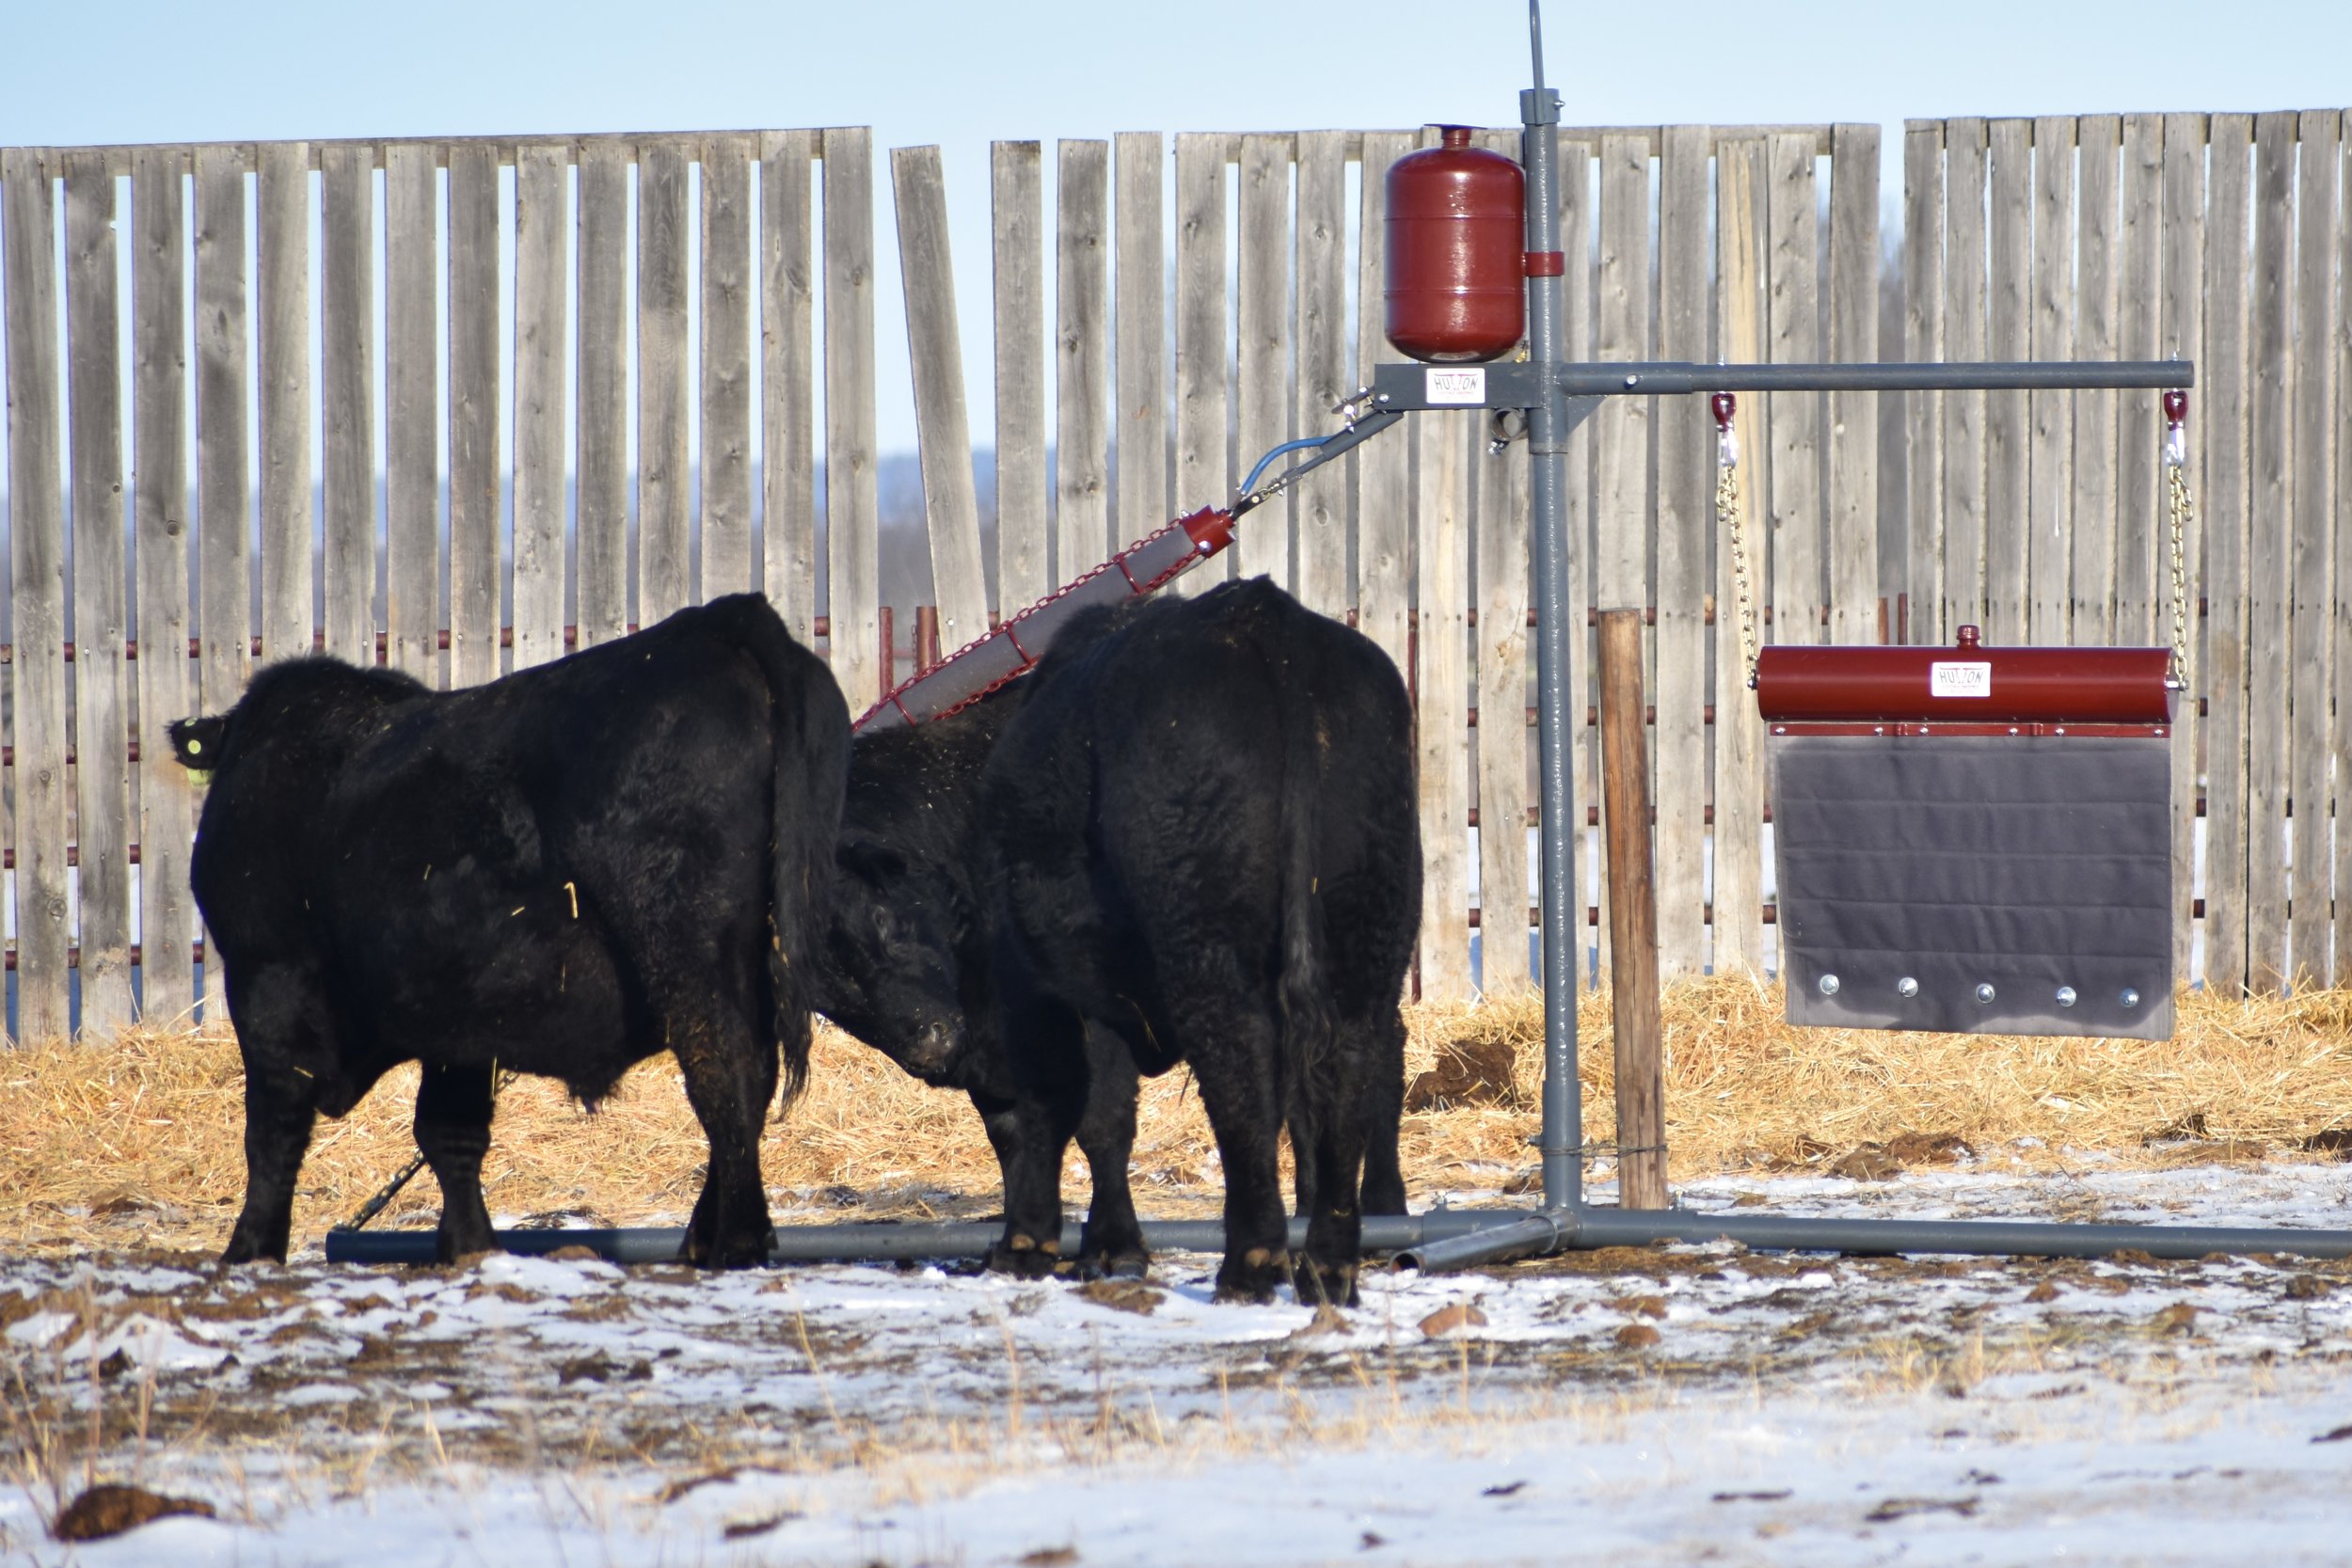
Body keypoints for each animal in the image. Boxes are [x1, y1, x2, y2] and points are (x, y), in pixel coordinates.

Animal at [169, 594, 849, 1269]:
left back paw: (733, 1244)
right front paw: (471, 1247)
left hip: (690, 953)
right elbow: (450, 1132)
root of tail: (718, 620)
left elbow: (272, 1131)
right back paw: (701, 1242)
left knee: (726, 1078)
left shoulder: (266, 977)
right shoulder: (461, 1015)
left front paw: (250, 1250)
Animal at [816, 578, 1417, 1304]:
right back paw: (1333, 1256)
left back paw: (1255, 1263)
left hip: (1206, 954)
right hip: (1365, 937)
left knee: (1247, 1076)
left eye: (882, 919)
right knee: (1352, 1070)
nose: (930, 1044)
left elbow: (1073, 1115)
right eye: (826, 985)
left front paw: (1066, 1243)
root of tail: (1257, 614)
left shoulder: (1047, 994)